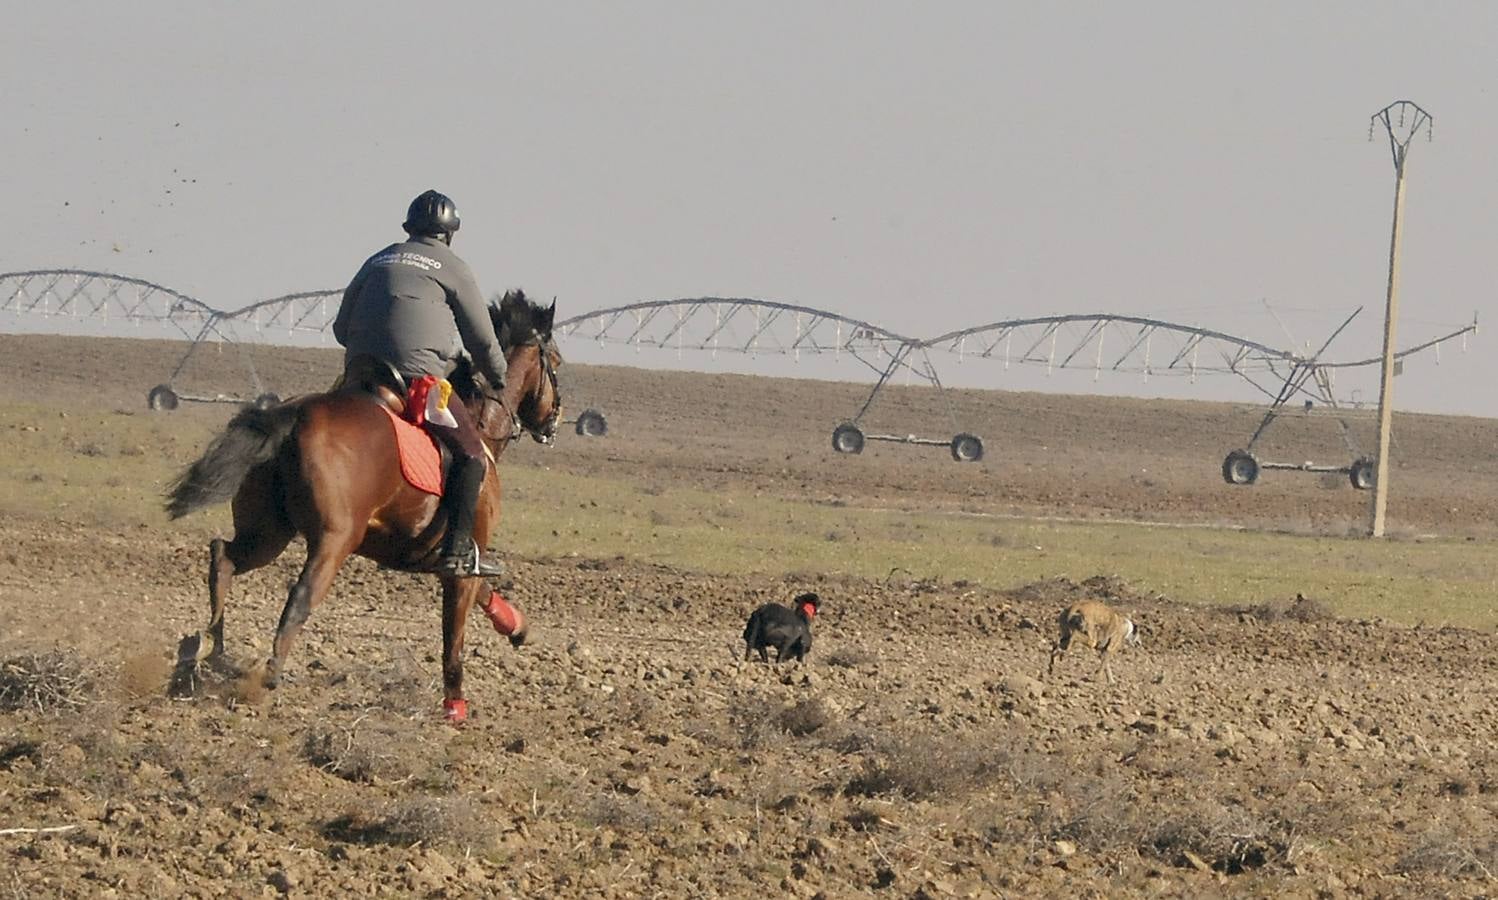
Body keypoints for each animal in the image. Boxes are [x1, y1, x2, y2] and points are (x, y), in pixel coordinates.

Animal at [164, 289, 563, 721]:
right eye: (556, 361)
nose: (555, 420)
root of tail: (295, 414)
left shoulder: (445, 560)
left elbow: (485, 595)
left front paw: (519, 628)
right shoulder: (461, 564)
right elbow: (453, 638)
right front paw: (455, 705)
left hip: (268, 533)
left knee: (223, 558)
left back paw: (210, 652)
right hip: (334, 540)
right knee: (299, 596)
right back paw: (267, 676)